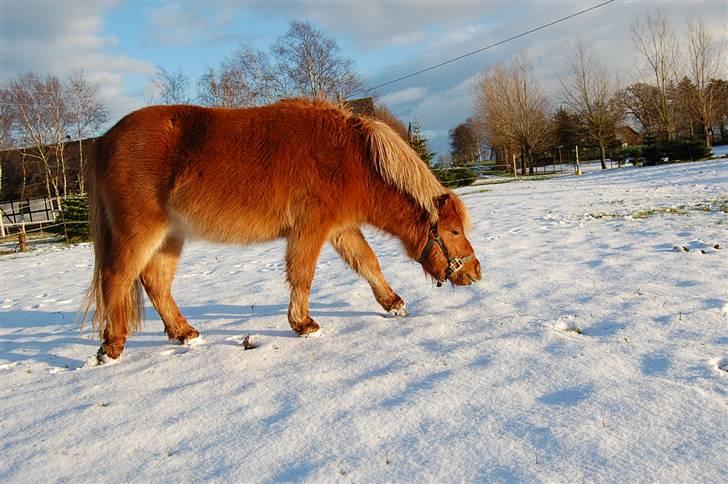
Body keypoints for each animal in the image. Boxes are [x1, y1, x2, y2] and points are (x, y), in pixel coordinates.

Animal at [85, 98, 480, 362]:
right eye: (454, 232)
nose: (476, 272)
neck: (350, 158)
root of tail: (103, 141)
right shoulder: (311, 229)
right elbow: (303, 274)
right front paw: (304, 324)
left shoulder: (341, 229)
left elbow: (368, 263)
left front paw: (393, 304)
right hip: (138, 233)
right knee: (116, 278)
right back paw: (112, 346)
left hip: (171, 237)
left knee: (156, 282)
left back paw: (184, 334)